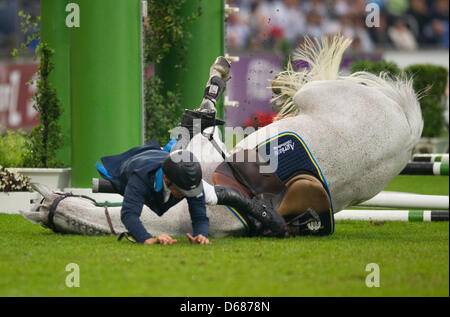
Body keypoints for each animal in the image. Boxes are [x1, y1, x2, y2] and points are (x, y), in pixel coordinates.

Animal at [20, 35, 422, 237]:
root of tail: (406, 131)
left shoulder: (193, 148)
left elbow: (197, 118)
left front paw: (218, 76)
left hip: (319, 94)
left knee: (307, 82)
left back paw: (279, 83)